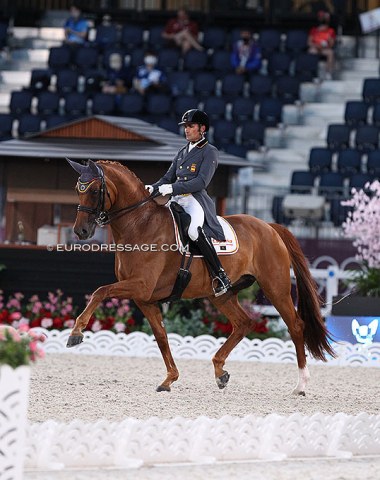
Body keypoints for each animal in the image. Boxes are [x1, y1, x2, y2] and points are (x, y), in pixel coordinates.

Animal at [67, 159, 334, 396]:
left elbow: (100, 291)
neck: (140, 224)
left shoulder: (140, 287)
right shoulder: (145, 299)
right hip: (221, 295)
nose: (81, 231)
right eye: (78, 189)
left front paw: (76, 333)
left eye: (94, 190)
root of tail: (269, 226)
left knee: (295, 326)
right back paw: (220, 372)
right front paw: (169, 379)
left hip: (275, 288)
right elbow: (161, 337)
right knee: (243, 323)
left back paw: (300, 385)